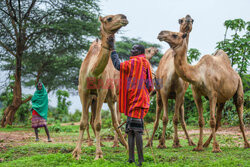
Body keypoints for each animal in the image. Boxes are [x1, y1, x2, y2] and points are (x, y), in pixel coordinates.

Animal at [71, 13, 128, 160]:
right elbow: (82, 122)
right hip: (93, 98)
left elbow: (98, 123)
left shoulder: (102, 91)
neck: (92, 71)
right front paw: (76, 153)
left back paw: (125, 145)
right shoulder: (83, 90)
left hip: (110, 98)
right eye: (109, 19)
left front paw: (98, 155)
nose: (124, 17)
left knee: (115, 121)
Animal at [146, 15, 196, 148]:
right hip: (158, 97)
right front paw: (162, 143)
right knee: (156, 119)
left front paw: (176, 142)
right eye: (181, 20)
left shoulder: (179, 93)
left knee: (182, 119)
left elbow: (176, 119)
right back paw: (149, 142)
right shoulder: (164, 92)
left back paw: (190, 141)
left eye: (192, 20)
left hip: (180, 100)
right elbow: (164, 119)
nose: (160, 33)